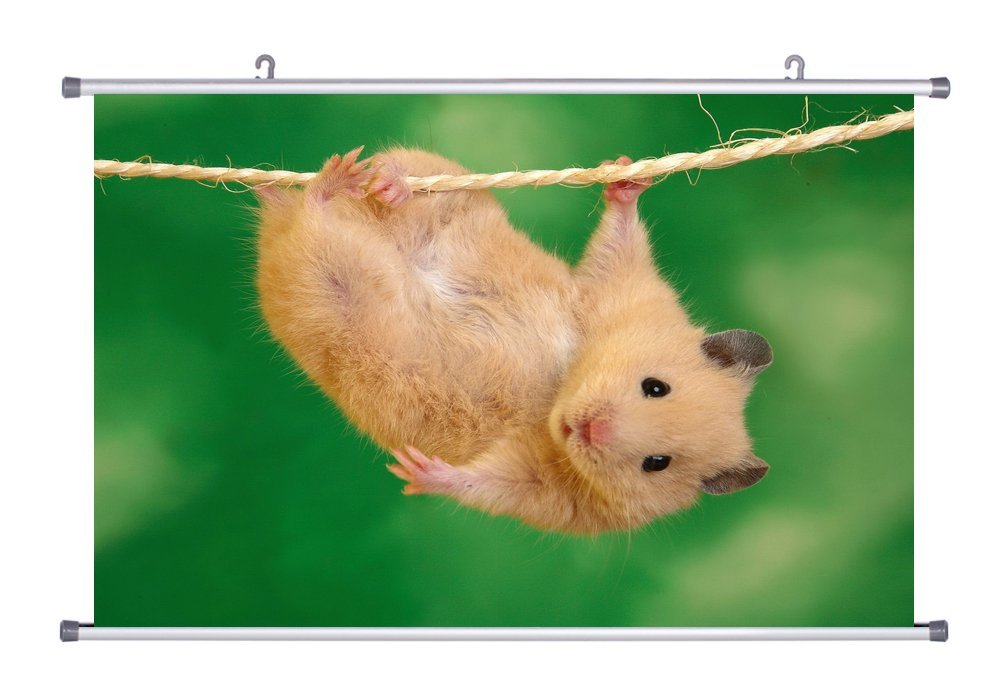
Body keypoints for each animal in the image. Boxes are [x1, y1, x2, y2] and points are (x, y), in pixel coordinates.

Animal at [255, 147, 772, 535]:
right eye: (655, 386)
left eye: (657, 463)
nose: (588, 430)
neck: (559, 392)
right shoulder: (617, 291)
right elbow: (619, 244)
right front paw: (625, 175)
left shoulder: (548, 492)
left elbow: (487, 483)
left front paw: (413, 470)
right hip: (452, 191)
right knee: (399, 178)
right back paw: (372, 181)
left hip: (325, 288)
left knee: (311, 225)